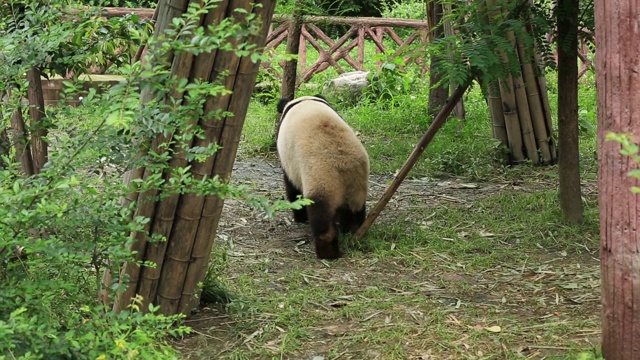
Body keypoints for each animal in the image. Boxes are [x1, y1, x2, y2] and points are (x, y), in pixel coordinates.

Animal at [276, 95, 370, 258]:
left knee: (321, 215)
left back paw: (328, 252)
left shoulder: (289, 160)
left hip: (322, 178)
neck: (305, 101)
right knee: (354, 210)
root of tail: (344, 166)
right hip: (358, 182)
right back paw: (351, 230)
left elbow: (292, 189)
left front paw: (299, 218)